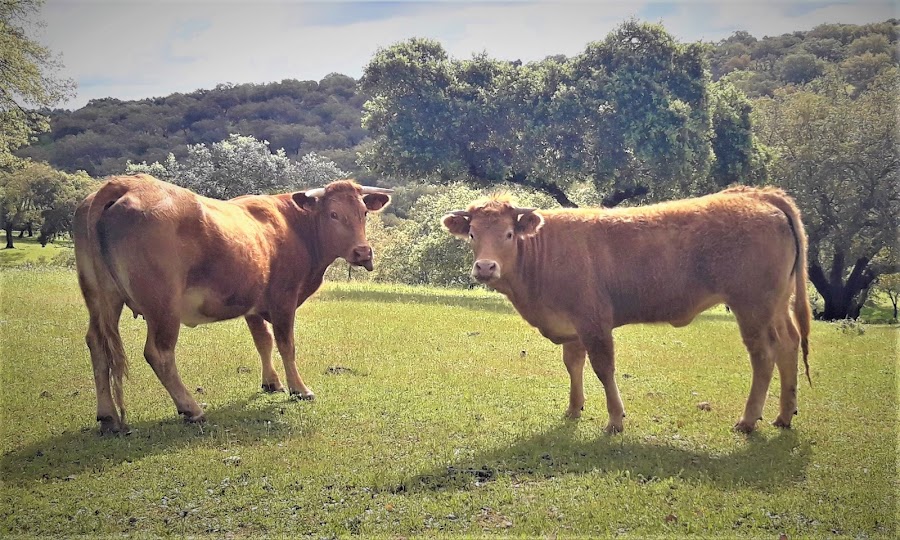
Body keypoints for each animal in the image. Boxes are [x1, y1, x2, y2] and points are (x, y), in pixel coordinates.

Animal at [74, 174, 390, 434]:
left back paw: (107, 416)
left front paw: (271, 383)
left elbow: (263, 342)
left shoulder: (253, 304)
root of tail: (124, 183)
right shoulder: (284, 299)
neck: (296, 227)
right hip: (163, 306)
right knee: (158, 353)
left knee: (96, 344)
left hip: (101, 299)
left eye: (363, 213)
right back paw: (191, 408)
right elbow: (286, 345)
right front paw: (299, 389)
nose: (363, 252)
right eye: (334, 214)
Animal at [442, 187, 808, 434]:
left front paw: (615, 419)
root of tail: (757, 194)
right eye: (472, 233)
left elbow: (603, 368)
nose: (485, 267)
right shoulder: (571, 326)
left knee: (764, 355)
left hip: (752, 307)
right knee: (789, 345)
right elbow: (573, 365)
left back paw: (748, 420)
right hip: (777, 304)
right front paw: (573, 409)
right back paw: (784, 415)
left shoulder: (593, 321)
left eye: (508, 233)